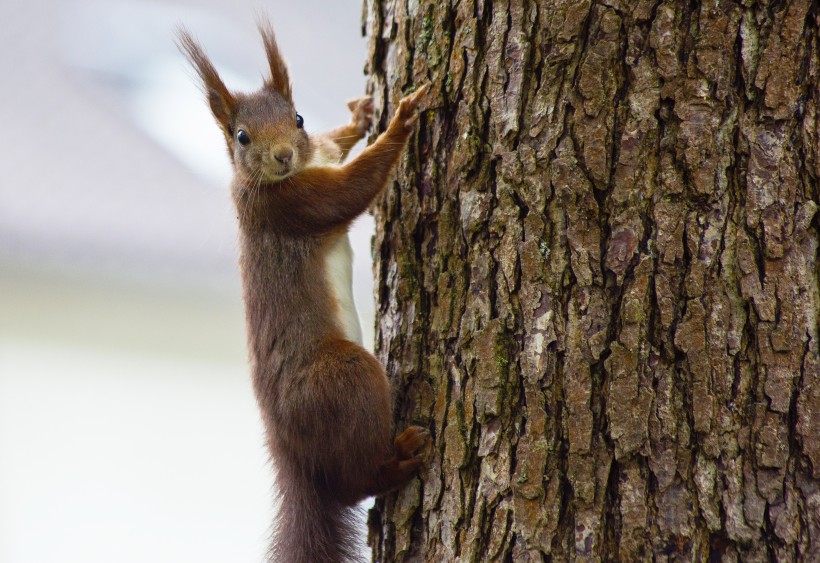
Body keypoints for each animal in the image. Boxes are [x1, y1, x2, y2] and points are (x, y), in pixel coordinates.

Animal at [178, 20, 430, 563]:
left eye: (296, 117)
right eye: (241, 135)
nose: (283, 155)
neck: (293, 172)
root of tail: (289, 454)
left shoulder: (319, 156)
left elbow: (336, 144)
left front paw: (361, 115)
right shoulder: (294, 206)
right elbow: (354, 189)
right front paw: (401, 120)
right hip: (342, 379)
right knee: (352, 485)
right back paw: (396, 462)